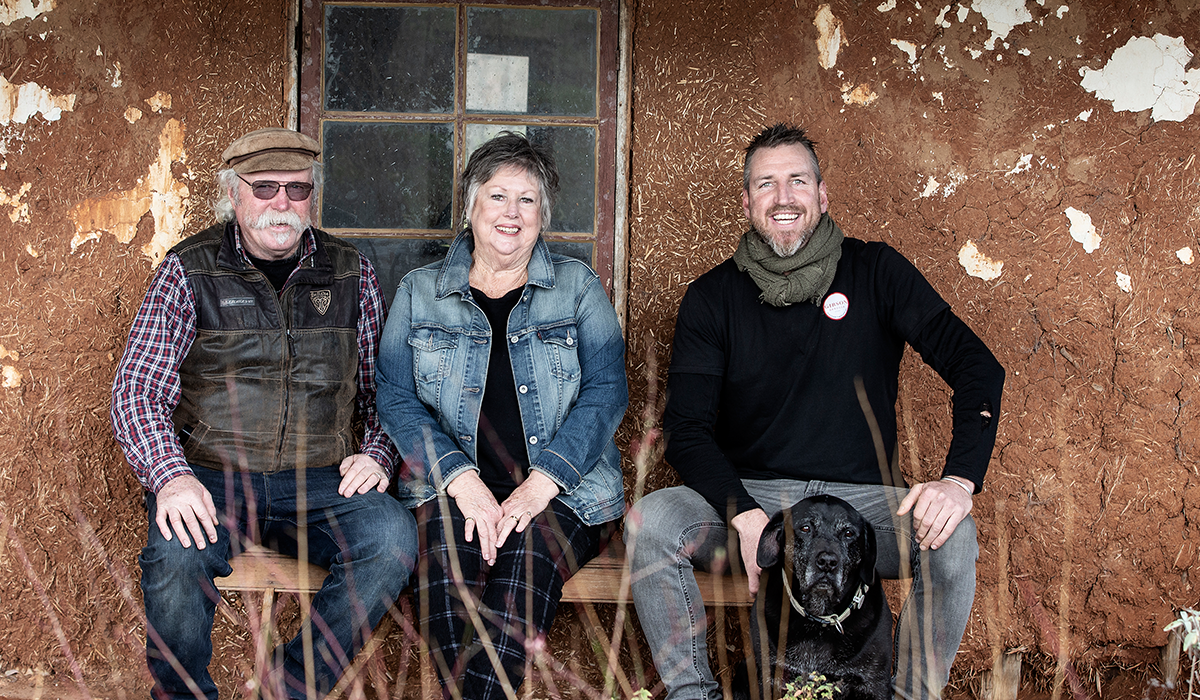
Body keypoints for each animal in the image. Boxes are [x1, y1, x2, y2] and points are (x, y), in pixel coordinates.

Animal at [729, 494, 892, 696]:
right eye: (805, 528)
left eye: (848, 533)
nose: (827, 562)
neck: (818, 620)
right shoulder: (770, 675)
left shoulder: (874, 683)